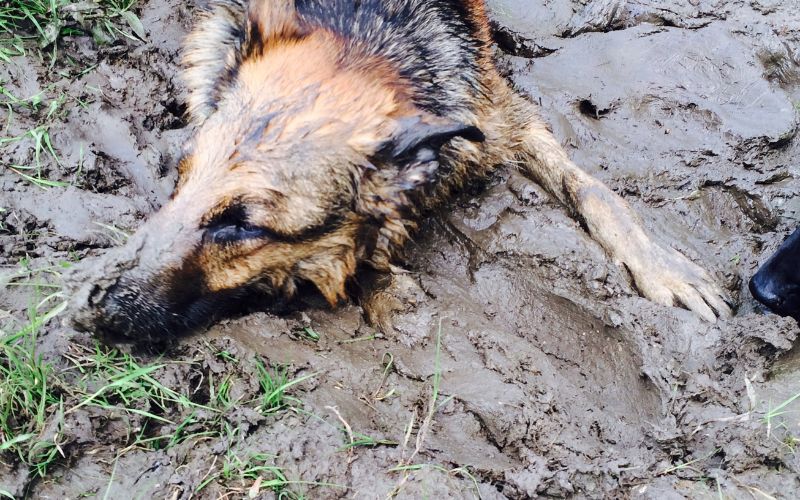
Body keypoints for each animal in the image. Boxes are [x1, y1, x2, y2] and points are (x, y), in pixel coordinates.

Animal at [69, 0, 732, 340]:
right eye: (178, 182)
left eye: (242, 225)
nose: (94, 305)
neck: (366, 41)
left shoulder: (508, 121)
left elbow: (597, 192)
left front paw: (663, 267)